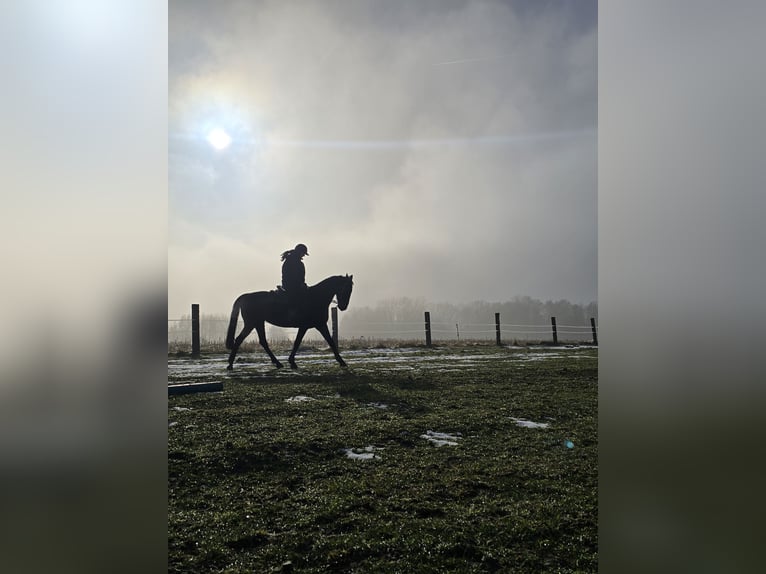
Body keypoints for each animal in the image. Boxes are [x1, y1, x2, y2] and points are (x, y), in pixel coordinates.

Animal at [224, 276, 352, 374]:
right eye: (346, 289)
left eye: (351, 289)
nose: (343, 307)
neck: (315, 298)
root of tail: (245, 297)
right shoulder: (307, 326)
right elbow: (298, 342)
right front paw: (292, 362)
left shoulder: (320, 325)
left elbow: (330, 342)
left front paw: (341, 361)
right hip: (251, 323)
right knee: (240, 339)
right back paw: (230, 364)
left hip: (258, 323)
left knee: (262, 341)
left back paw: (277, 363)